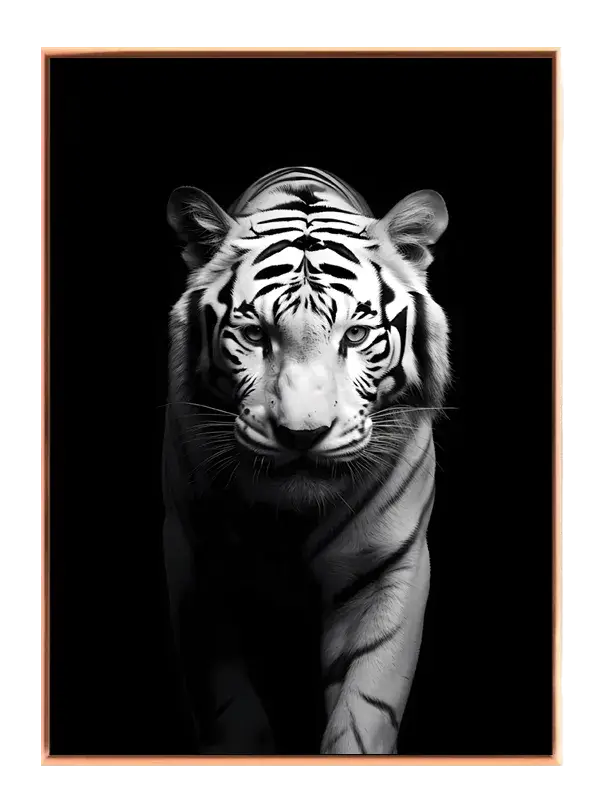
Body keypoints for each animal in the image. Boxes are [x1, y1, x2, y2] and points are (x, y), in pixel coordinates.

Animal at [161, 166, 451, 756]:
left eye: (356, 335)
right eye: (254, 335)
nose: (302, 435)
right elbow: (229, 710)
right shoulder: (196, 564)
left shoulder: (386, 568)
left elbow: (364, 709)